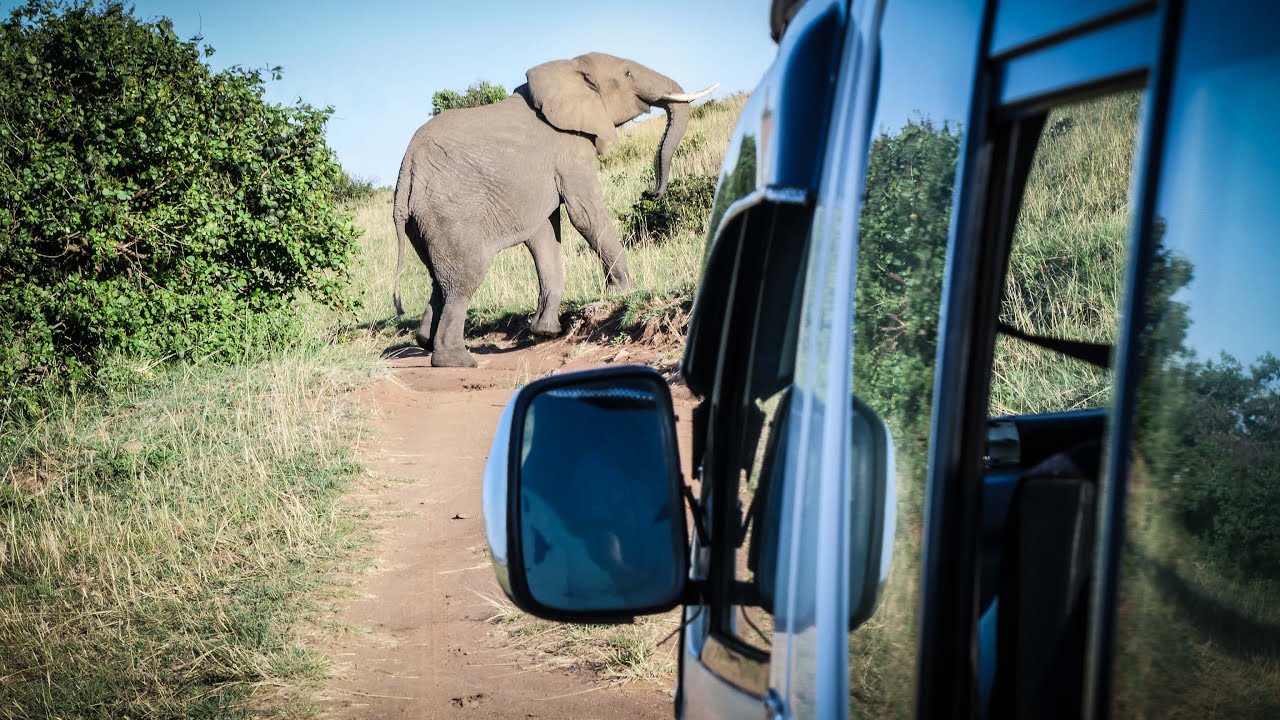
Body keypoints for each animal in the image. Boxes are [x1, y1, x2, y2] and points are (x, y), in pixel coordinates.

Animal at [389, 51, 716, 363]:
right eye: (627, 73)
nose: (650, 193)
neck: (569, 67)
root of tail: (406, 170)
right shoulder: (569, 147)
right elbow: (584, 215)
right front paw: (626, 291)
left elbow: (545, 233)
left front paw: (546, 331)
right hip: (449, 211)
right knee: (464, 278)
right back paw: (457, 360)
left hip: (424, 220)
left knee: (440, 278)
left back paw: (424, 341)